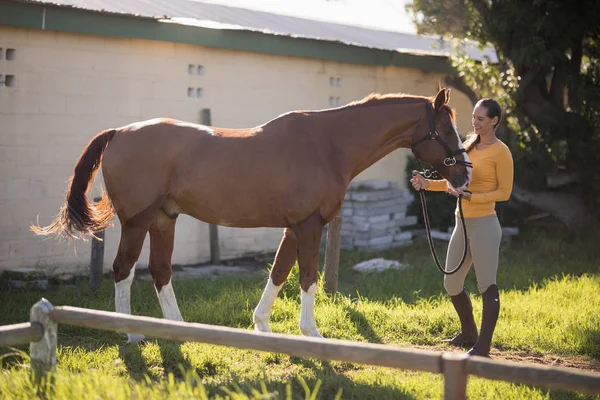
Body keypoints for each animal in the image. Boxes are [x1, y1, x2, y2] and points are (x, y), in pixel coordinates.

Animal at [32, 88, 472, 344]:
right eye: (448, 129)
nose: (465, 175)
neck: (328, 145)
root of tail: (119, 132)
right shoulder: (309, 227)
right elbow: (307, 278)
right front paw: (311, 332)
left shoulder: (294, 228)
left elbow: (279, 272)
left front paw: (262, 325)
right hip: (138, 222)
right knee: (124, 270)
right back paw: (132, 335)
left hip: (163, 220)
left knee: (160, 271)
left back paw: (176, 329)